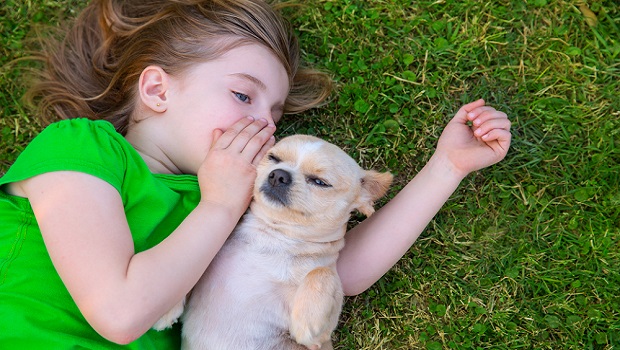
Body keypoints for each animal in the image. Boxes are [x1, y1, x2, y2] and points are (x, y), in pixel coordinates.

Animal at [157, 135, 392, 350]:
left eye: (320, 182)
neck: (273, 235)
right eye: (273, 158)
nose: (279, 174)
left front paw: (307, 320)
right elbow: (190, 265)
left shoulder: (320, 341)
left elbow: (321, 272)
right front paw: (167, 307)